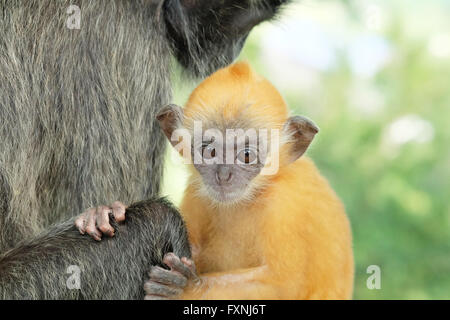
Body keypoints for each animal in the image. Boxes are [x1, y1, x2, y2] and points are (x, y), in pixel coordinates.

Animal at [142, 62, 354, 300]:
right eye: (210, 151)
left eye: (246, 155)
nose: (224, 175)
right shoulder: (196, 190)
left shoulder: (286, 205)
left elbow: (283, 284)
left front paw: (186, 287)